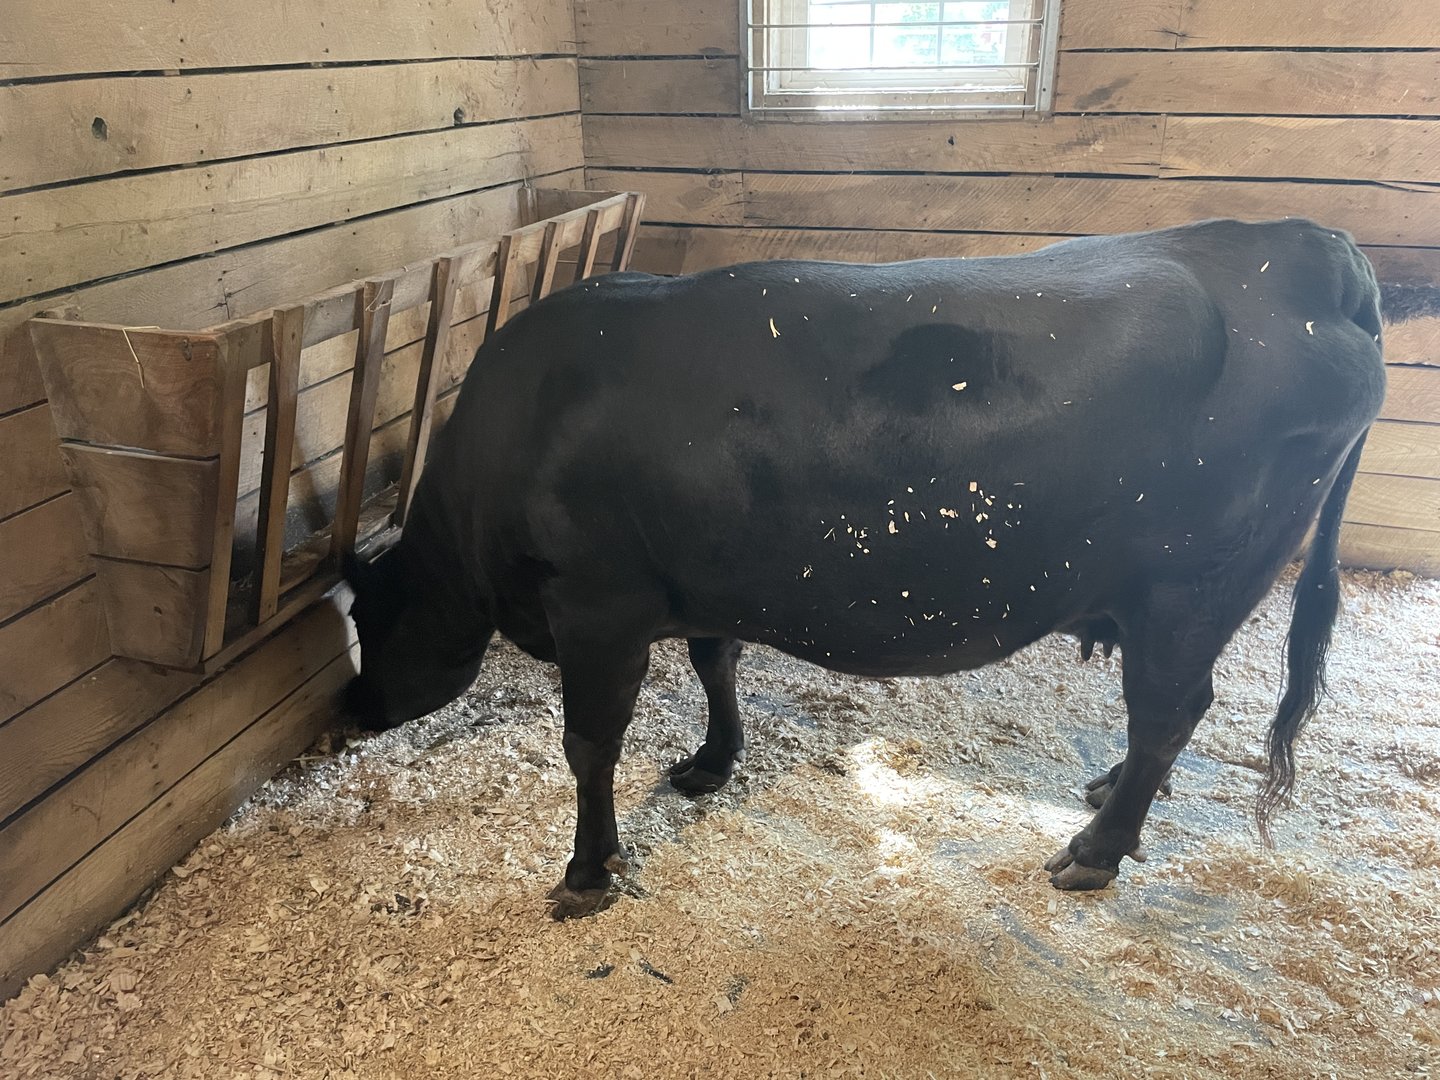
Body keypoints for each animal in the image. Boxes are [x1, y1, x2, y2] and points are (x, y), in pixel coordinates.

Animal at [342, 217, 1389, 920]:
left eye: (369, 624)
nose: (349, 710)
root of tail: (1307, 246)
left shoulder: (595, 606)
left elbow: (589, 746)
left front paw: (586, 871)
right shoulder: (697, 583)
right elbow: (716, 664)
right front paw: (710, 764)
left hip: (1188, 589)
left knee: (1170, 708)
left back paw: (1095, 849)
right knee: (1169, 715)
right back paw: (1114, 794)